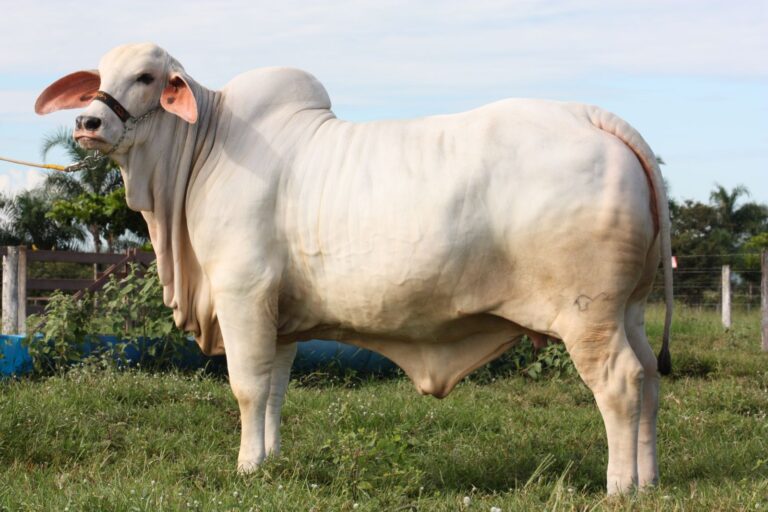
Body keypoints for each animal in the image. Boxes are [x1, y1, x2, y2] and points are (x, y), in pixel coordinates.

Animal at [36, 44, 672, 496]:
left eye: (147, 77)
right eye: (99, 74)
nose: (89, 123)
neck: (201, 152)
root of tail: (594, 119)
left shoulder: (243, 293)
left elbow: (246, 387)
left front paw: (245, 468)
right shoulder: (278, 316)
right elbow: (274, 389)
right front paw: (270, 462)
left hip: (588, 316)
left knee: (619, 382)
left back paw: (619, 488)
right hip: (630, 309)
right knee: (648, 377)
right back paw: (647, 481)